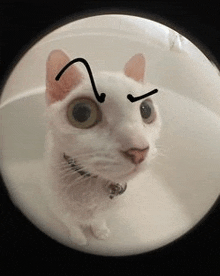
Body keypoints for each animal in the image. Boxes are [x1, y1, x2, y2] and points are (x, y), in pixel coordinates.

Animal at [42, 48, 162, 245]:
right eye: (82, 113)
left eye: (146, 110)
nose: (139, 151)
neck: (91, 186)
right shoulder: (59, 209)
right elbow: (72, 224)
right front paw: (79, 238)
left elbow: (99, 219)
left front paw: (100, 231)